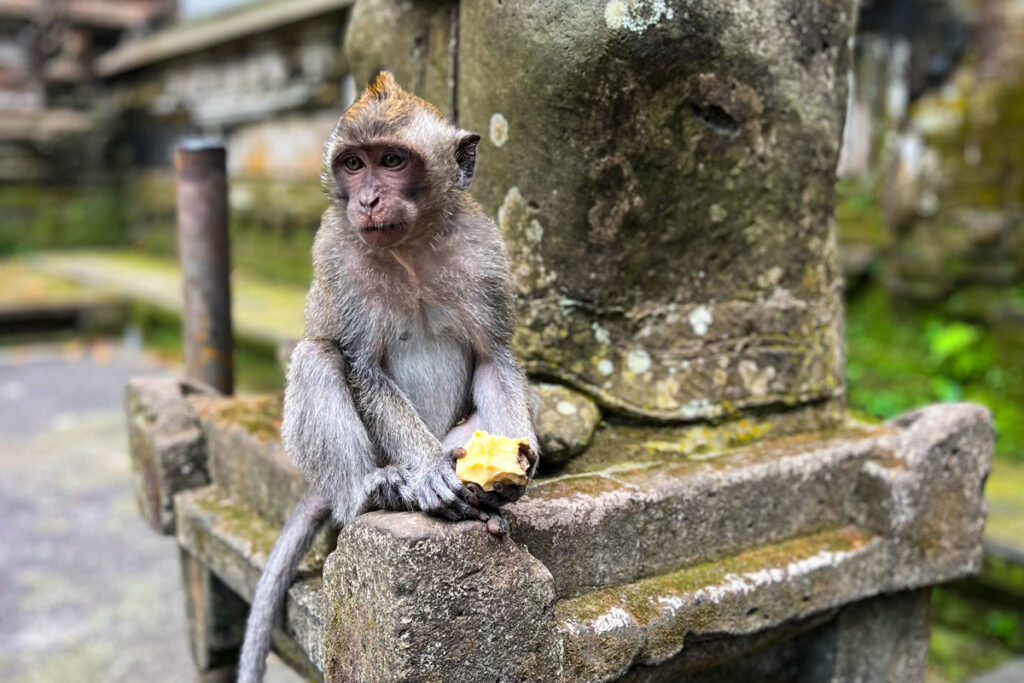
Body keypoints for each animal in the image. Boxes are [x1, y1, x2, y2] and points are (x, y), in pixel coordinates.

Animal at [235, 72, 540, 679]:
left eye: (392, 160)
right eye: (353, 164)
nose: (368, 199)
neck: (411, 246)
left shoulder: (487, 255)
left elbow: (493, 359)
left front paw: (518, 459)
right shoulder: (337, 256)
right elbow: (363, 368)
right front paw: (429, 474)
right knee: (317, 358)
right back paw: (375, 491)